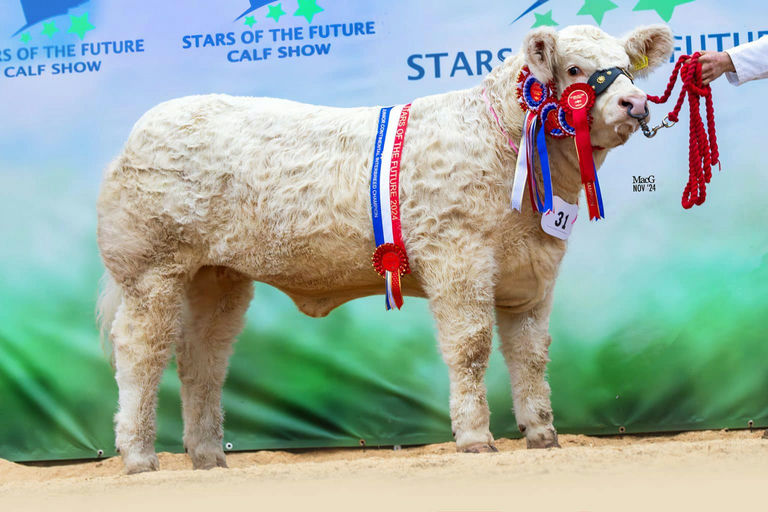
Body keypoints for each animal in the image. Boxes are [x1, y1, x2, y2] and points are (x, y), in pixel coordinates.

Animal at [97, 24, 674, 474]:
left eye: (628, 67)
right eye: (575, 69)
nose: (636, 102)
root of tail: (139, 132)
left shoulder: (533, 271)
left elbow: (532, 354)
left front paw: (542, 434)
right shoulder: (457, 255)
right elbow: (471, 347)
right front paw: (475, 438)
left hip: (217, 276)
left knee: (203, 357)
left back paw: (209, 456)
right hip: (151, 268)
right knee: (141, 352)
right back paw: (139, 456)